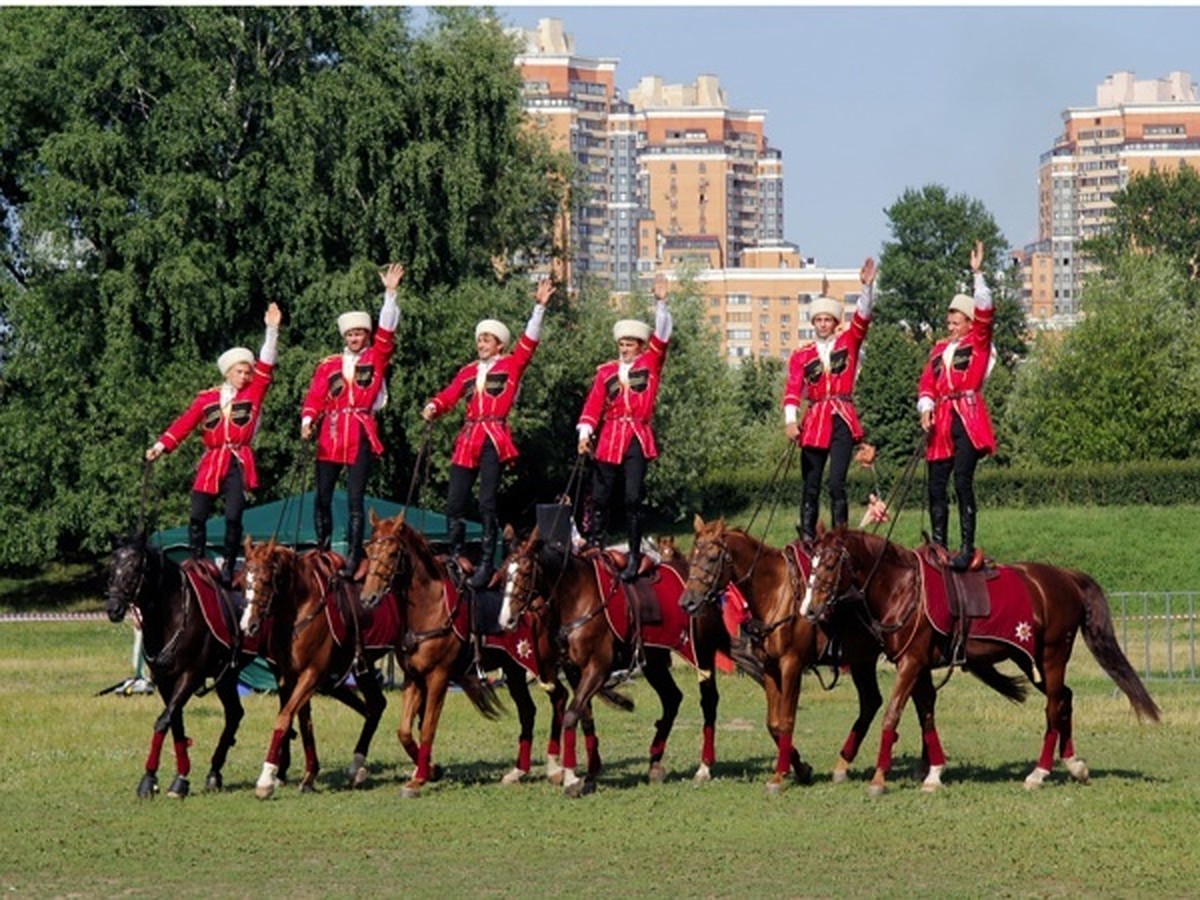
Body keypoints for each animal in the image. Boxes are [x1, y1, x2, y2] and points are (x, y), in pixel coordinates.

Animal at [106, 532, 256, 801]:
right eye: (112, 567)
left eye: (135, 567)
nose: (113, 608)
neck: (173, 613)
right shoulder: (166, 681)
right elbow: (175, 723)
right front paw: (178, 778)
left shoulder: (190, 676)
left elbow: (163, 721)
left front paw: (149, 779)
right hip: (228, 676)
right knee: (234, 714)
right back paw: (214, 772)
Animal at [494, 528, 758, 796]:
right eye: (504, 573)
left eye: (526, 571)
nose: (506, 620)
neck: (578, 598)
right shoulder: (574, 670)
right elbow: (584, 716)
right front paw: (589, 774)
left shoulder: (597, 669)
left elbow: (570, 715)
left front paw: (570, 778)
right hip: (654, 662)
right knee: (672, 698)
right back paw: (655, 763)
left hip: (700, 652)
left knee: (708, 701)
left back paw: (704, 767)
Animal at [796, 528, 1161, 796]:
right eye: (811, 562)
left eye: (830, 563)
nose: (809, 609)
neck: (902, 588)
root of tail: (1066, 577)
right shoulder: (919, 665)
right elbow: (926, 715)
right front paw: (934, 773)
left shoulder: (911, 664)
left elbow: (892, 715)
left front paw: (879, 779)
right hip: (1030, 659)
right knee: (1065, 699)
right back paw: (1073, 765)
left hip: (1052, 656)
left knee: (1053, 706)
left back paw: (1038, 773)